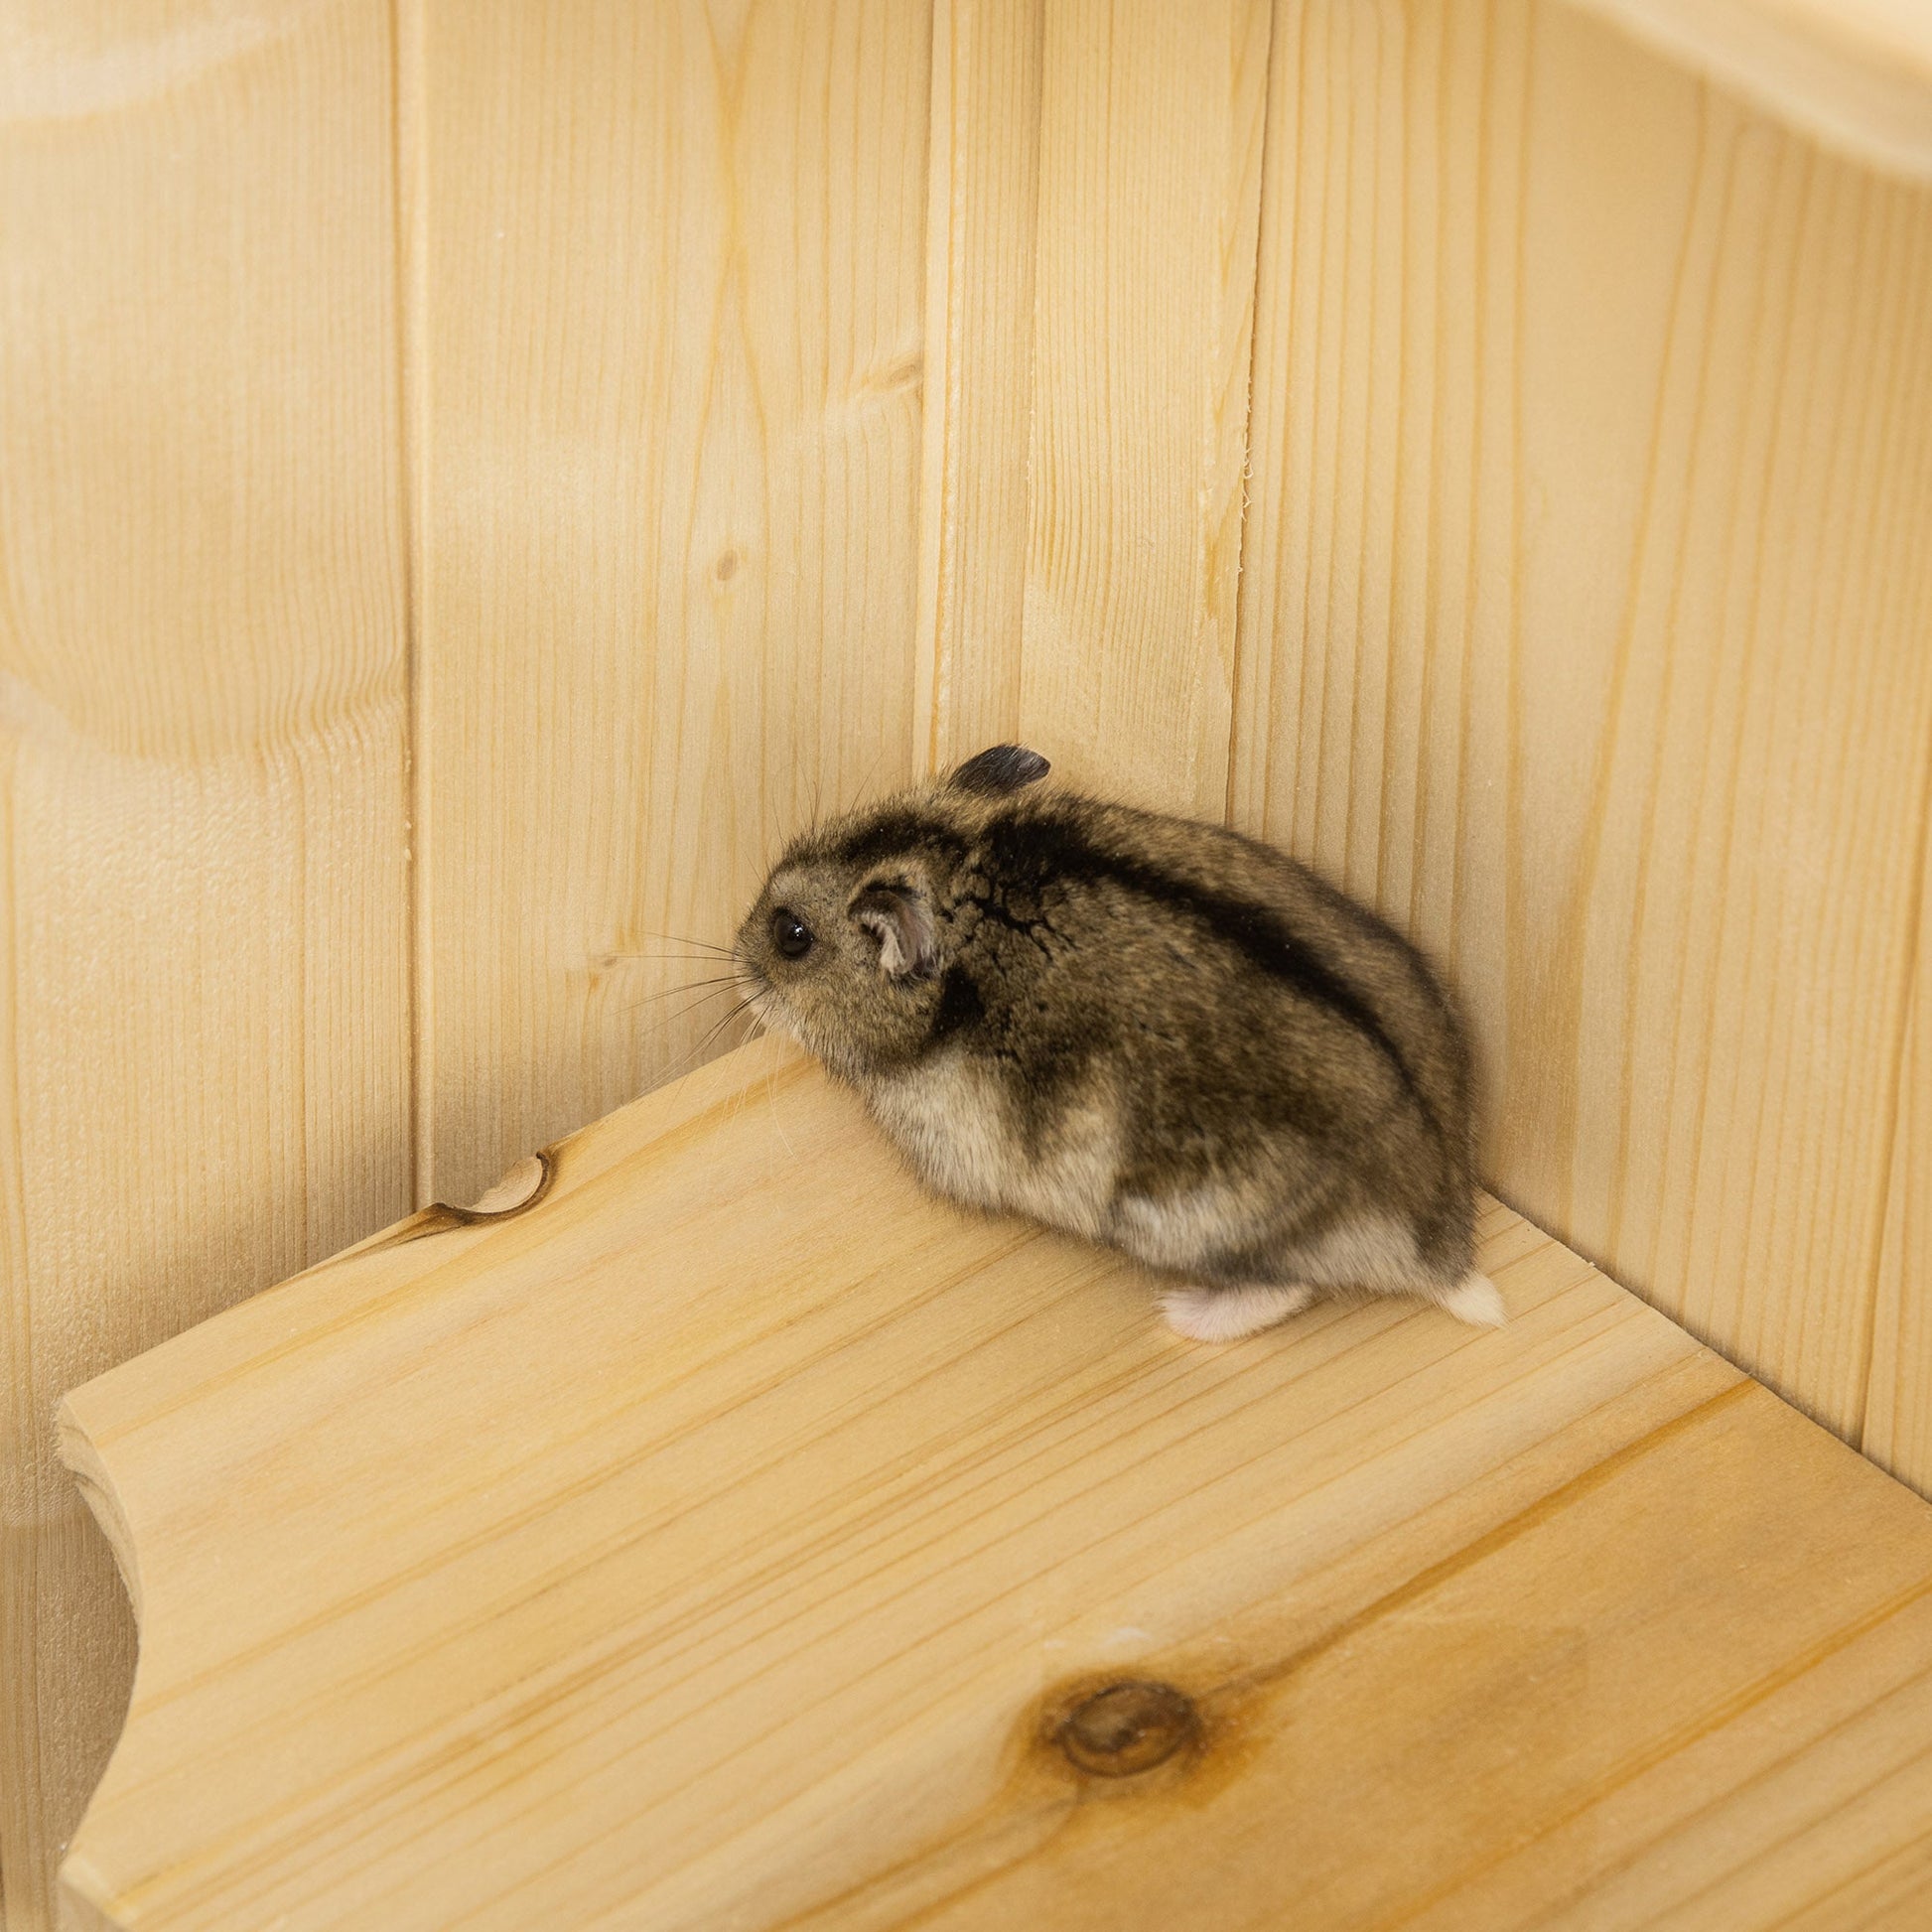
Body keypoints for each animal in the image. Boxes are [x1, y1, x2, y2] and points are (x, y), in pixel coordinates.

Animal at [732, 744, 1502, 1341]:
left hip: (1189, 1220)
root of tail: (1445, 1247)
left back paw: (1180, 1314)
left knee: (1283, 1288)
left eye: (791, 937)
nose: (734, 958)